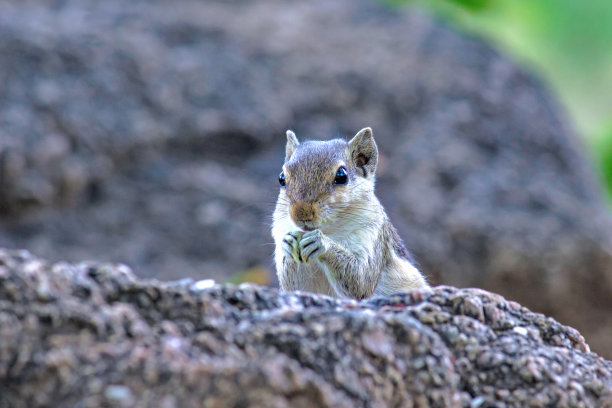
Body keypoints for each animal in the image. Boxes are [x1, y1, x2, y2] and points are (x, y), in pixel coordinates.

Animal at [270, 127, 428, 300]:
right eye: (281, 178)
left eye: (341, 176)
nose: (301, 213)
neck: (330, 230)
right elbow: (294, 288)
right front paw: (288, 242)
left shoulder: (372, 237)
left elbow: (360, 281)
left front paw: (322, 243)